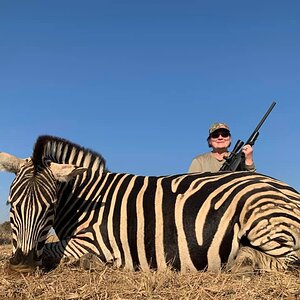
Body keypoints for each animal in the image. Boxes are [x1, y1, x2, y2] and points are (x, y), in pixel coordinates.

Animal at [0, 135, 298, 274]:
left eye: (50, 206)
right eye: (10, 204)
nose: (22, 264)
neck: (85, 199)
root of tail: (287, 189)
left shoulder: (93, 241)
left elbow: (53, 250)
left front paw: (90, 263)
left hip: (260, 219)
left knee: (290, 260)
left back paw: (244, 262)